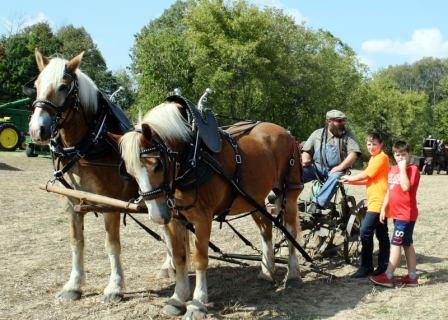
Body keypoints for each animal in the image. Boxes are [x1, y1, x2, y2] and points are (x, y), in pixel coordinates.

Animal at [26, 50, 173, 302]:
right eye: (36, 85)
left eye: (64, 86)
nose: (38, 130)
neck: (86, 148)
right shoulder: (72, 205)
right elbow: (77, 242)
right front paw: (74, 285)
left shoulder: (110, 205)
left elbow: (111, 245)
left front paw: (115, 287)